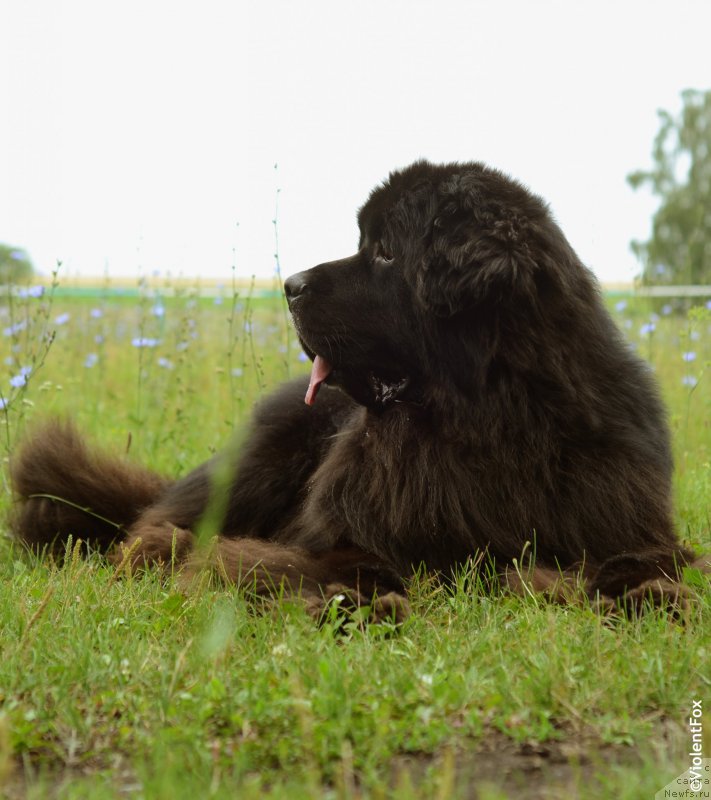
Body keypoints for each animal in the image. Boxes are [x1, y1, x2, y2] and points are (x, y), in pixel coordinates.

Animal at [8, 159, 704, 616]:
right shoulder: (344, 531)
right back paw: (162, 546)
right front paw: (353, 600)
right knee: (154, 525)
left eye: (387, 252)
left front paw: (656, 595)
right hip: (260, 456)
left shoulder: (618, 513)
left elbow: (648, 560)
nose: (289, 285)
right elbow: (322, 564)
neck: (485, 417)